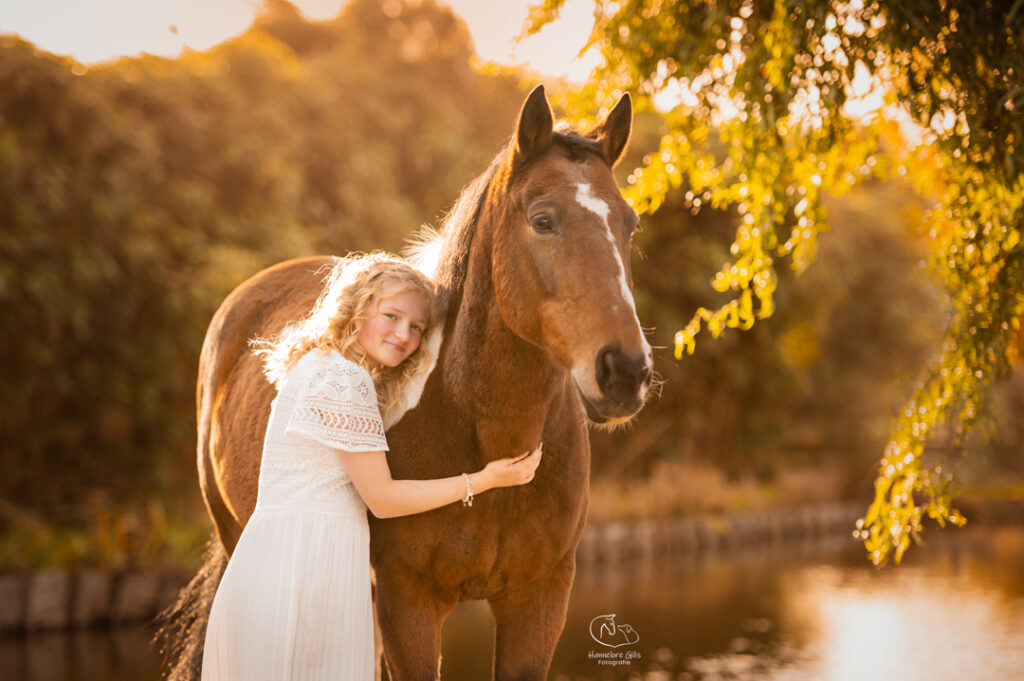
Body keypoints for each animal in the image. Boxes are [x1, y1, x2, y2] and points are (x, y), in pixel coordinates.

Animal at [156, 85, 653, 681]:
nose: (625, 371)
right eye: (543, 220)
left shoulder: (540, 599)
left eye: (629, 225)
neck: (480, 429)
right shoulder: (407, 602)